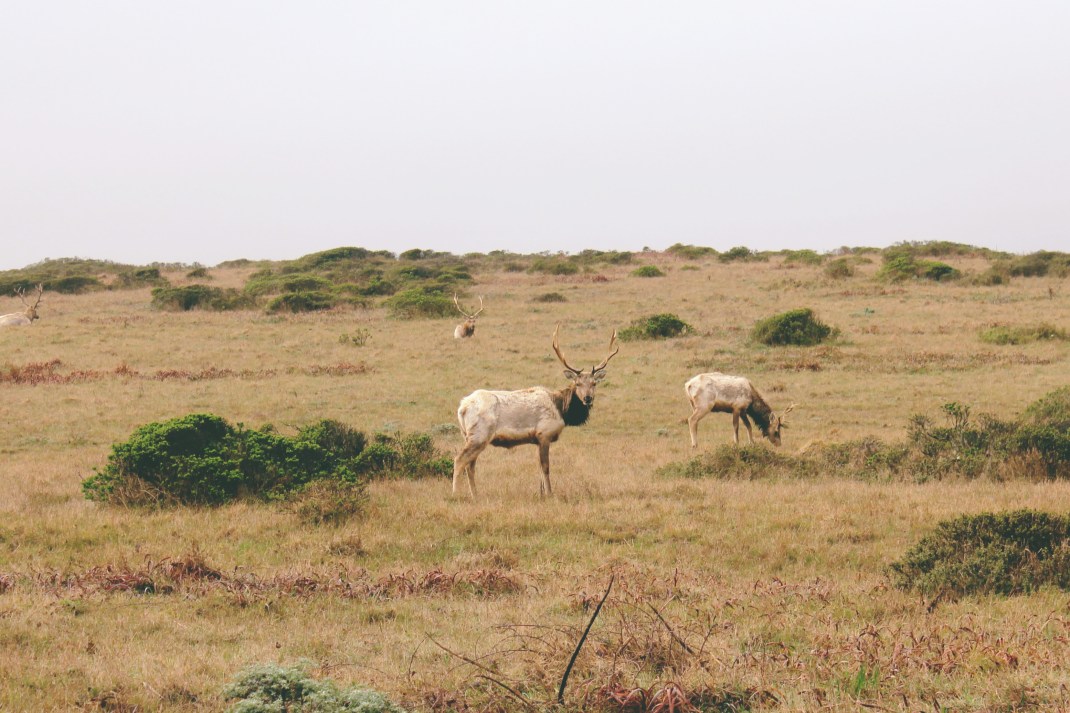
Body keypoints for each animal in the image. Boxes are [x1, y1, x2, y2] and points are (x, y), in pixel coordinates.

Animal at [453, 324, 619, 498]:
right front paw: (550, 494)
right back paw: (455, 494)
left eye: (594, 383)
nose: (587, 398)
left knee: (470, 465)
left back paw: (475, 495)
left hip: (469, 436)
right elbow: (545, 467)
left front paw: (541, 493)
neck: (561, 410)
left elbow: (539, 468)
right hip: (479, 435)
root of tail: (462, 407)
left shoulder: (537, 440)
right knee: (459, 460)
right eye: (577, 383)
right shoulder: (544, 434)